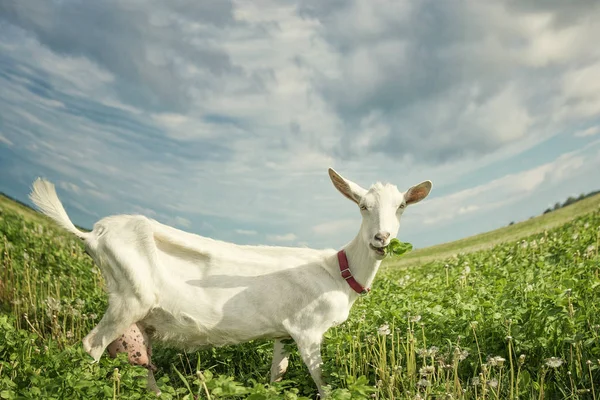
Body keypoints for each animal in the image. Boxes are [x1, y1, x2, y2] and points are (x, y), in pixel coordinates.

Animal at [29, 169, 432, 396]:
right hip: (130, 298)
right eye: (362, 205)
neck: (338, 270)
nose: (381, 238)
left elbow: (277, 373)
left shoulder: (284, 333)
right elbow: (321, 380)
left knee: (139, 361)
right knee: (91, 346)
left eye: (401, 206)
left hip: (137, 313)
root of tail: (91, 234)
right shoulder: (308, 330)